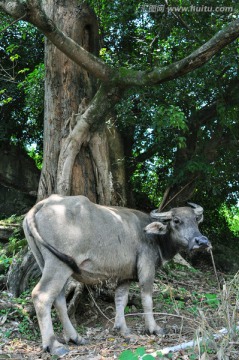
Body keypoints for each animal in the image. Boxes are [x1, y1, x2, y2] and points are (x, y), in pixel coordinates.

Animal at [22, 195, 209, 356]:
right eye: (177, 221)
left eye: (196, 220)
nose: (201, 241)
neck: (154, 236)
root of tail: (45, 203)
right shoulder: (147, 268)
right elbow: (147, 299)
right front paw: (154, 328)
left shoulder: (124, 276)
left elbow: (121, 300)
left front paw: (122, 329)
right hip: (57, 265)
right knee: (42, 296)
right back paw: (53, 345)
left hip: (52, 264)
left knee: (59, 298)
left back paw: (75, 337)